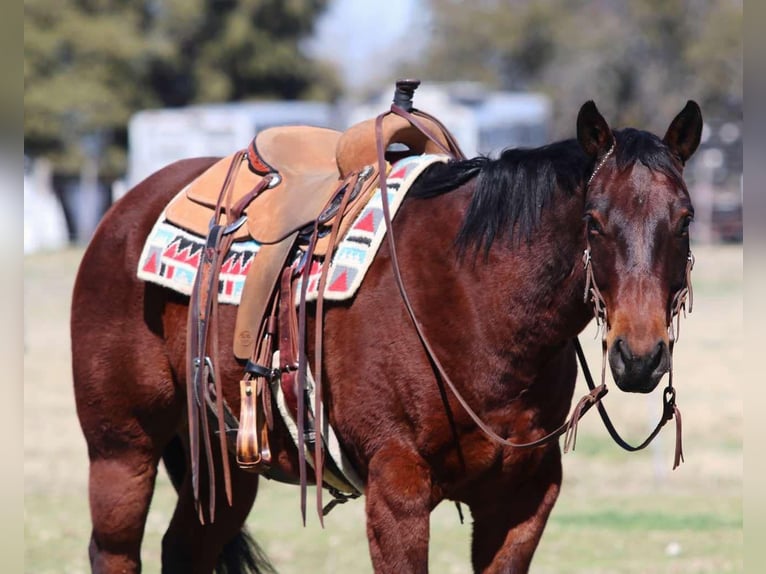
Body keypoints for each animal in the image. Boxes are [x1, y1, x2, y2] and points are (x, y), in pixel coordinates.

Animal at [71, 98, 702, 573]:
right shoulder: (397, 494)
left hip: (227, 459)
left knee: (183, 550)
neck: (474, 302)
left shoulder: (522, 502)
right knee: (113, 551)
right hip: (121, 450)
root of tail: (123, 211)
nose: (640, 357)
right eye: (593, 221)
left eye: (685, 218)